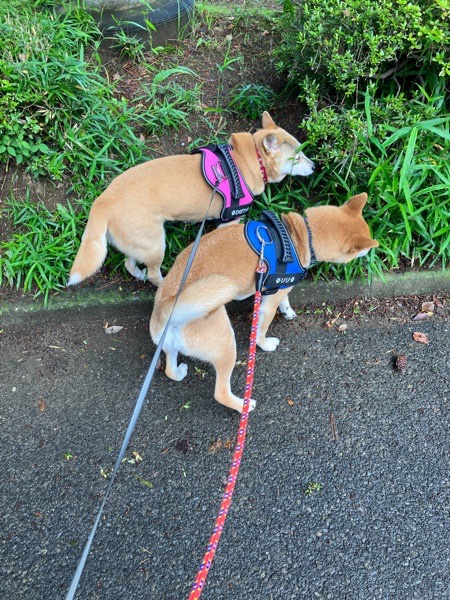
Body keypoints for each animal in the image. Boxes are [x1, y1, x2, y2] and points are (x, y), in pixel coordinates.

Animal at [68, 112, 315, 287]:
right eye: (297, 157)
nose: (314, 166)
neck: (248, 160)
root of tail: (104, 201)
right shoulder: (229, 221)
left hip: (139, 243)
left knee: (130, 263)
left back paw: (138, 274)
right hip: (156, 244)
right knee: (154, 274)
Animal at [149, 193, 379, 413]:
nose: (373, 250)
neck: (301, 237)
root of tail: (165, 308)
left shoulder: (281, 288)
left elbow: (285, 300)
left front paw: (288, 312)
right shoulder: (268, 302)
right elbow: (261, 329)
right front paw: (266, 344)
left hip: (170, 347)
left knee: (169, 369)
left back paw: (179, 372)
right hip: (225, 344)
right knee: (220, 392)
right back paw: (244, 405)